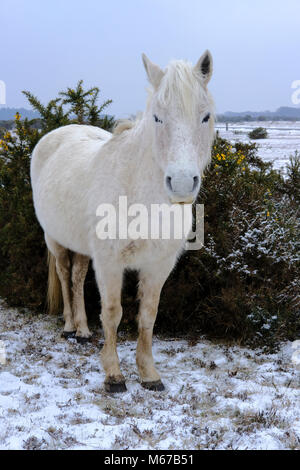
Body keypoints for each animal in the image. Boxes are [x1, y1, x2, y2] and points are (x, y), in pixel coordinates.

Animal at [31, 53, 216, 392]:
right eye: (157, 117)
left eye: (205, 116)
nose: (182, 184)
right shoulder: (109, 263)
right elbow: (112, 313)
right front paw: (114, 375)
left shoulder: (158, 266)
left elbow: (148, 316)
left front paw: (149, 374)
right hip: (55, 239)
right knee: (64, 276)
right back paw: (69, 327)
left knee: (77, 278)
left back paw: (83, 331)